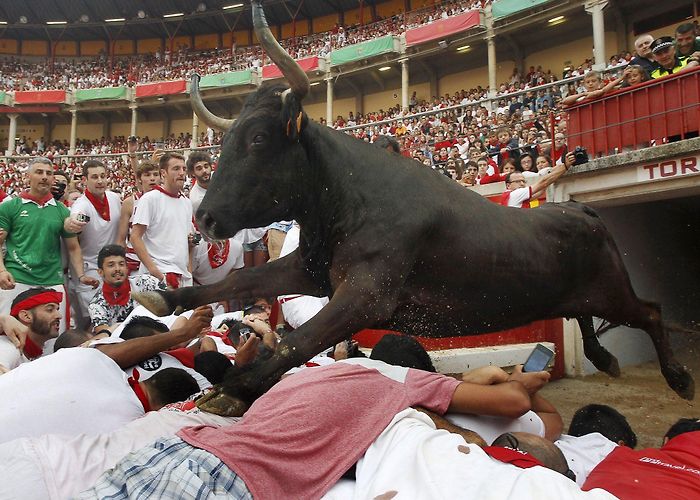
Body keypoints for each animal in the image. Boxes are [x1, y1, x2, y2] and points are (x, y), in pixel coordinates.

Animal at [133, 1, 693, 415]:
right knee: (587, 316)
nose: (204, 219)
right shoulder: (311, 269)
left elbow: (298, 341)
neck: (343, 201)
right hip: (577, 294)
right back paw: (605, 357)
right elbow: (242, 280)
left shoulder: (366, 294)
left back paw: (679, 378)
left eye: (257, 138)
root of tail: (580, 212)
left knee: (650, 310)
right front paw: (169, 298)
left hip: (612, 290)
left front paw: (232, 388)